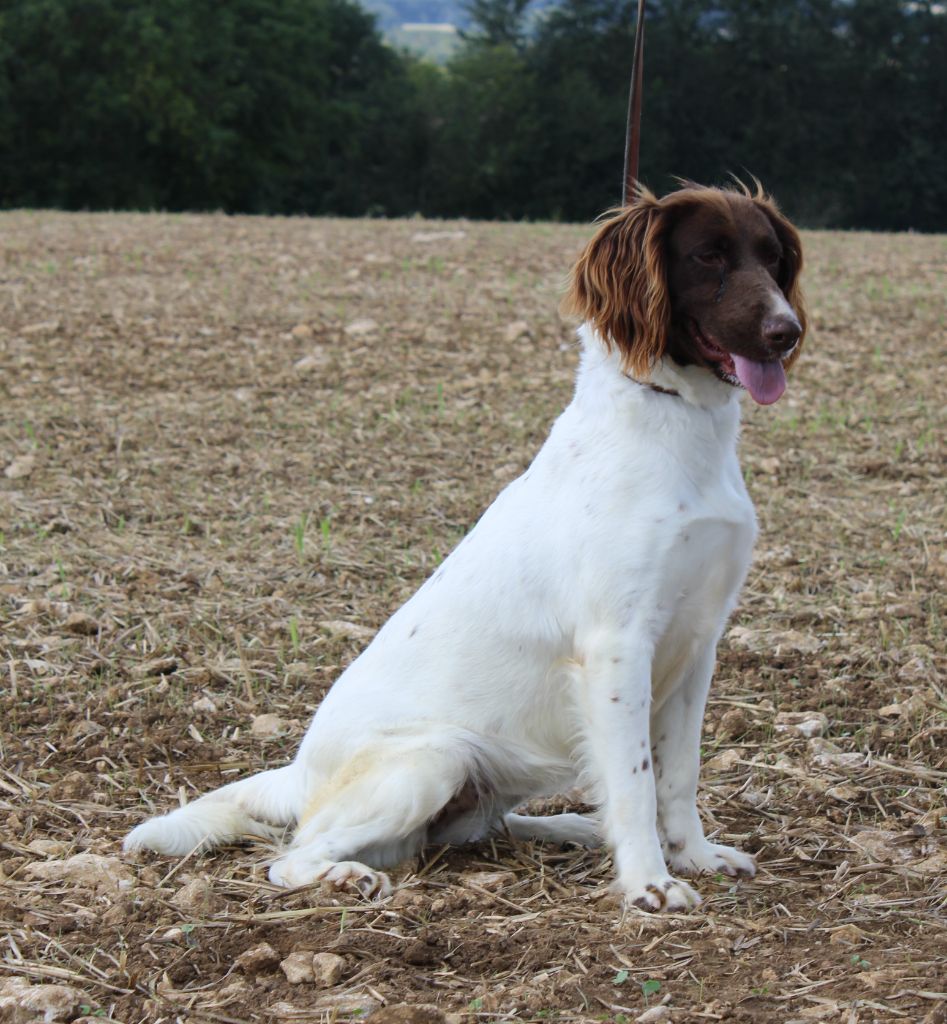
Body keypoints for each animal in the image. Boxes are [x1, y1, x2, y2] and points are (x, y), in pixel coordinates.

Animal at [125, 182, 806, 913]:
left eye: (772, 257)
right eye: (708, 256)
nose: (786, 330)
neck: (681, 428)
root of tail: (301, 769)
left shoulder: (697, 641)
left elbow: (678, 775)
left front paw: (695, 856)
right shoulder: (617, 646)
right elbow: (634, 781)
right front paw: (649, 882)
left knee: (473, 831)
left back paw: (569, 826)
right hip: (433, 759)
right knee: (293, 854)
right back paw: (346, 875)